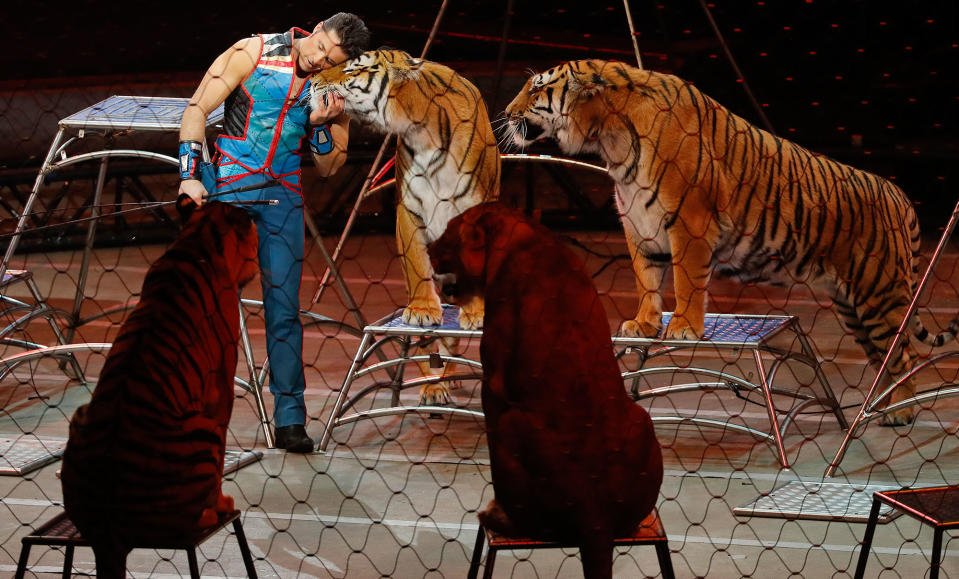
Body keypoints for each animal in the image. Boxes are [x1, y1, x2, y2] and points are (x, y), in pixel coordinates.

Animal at [62, 202, 260, 576]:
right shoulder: (221, 387)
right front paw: (223, 499)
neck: (199, 237)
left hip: (80, 417)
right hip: (203, 429)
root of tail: (110, 533)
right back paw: (216, 509)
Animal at [316, 48, 502, 404]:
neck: (421, 130)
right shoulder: (409, 210)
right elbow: (417, 269)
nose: (312, 81)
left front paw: (477, 314)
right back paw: (435, 382)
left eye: (351, 69)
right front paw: (422, 311)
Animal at [506, 60, 956, 426]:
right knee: (885, 360)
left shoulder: (689, 222)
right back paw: (881, 407)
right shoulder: (638, 224)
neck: (609, 135)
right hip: (854, 304)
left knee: (905, 355)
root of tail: (898, 192)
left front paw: (684, 327)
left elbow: (686, 281)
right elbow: (645, 280)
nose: (507, 114)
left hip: (879, 294)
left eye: (535, 89)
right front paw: (644, 324)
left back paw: (900, 413)